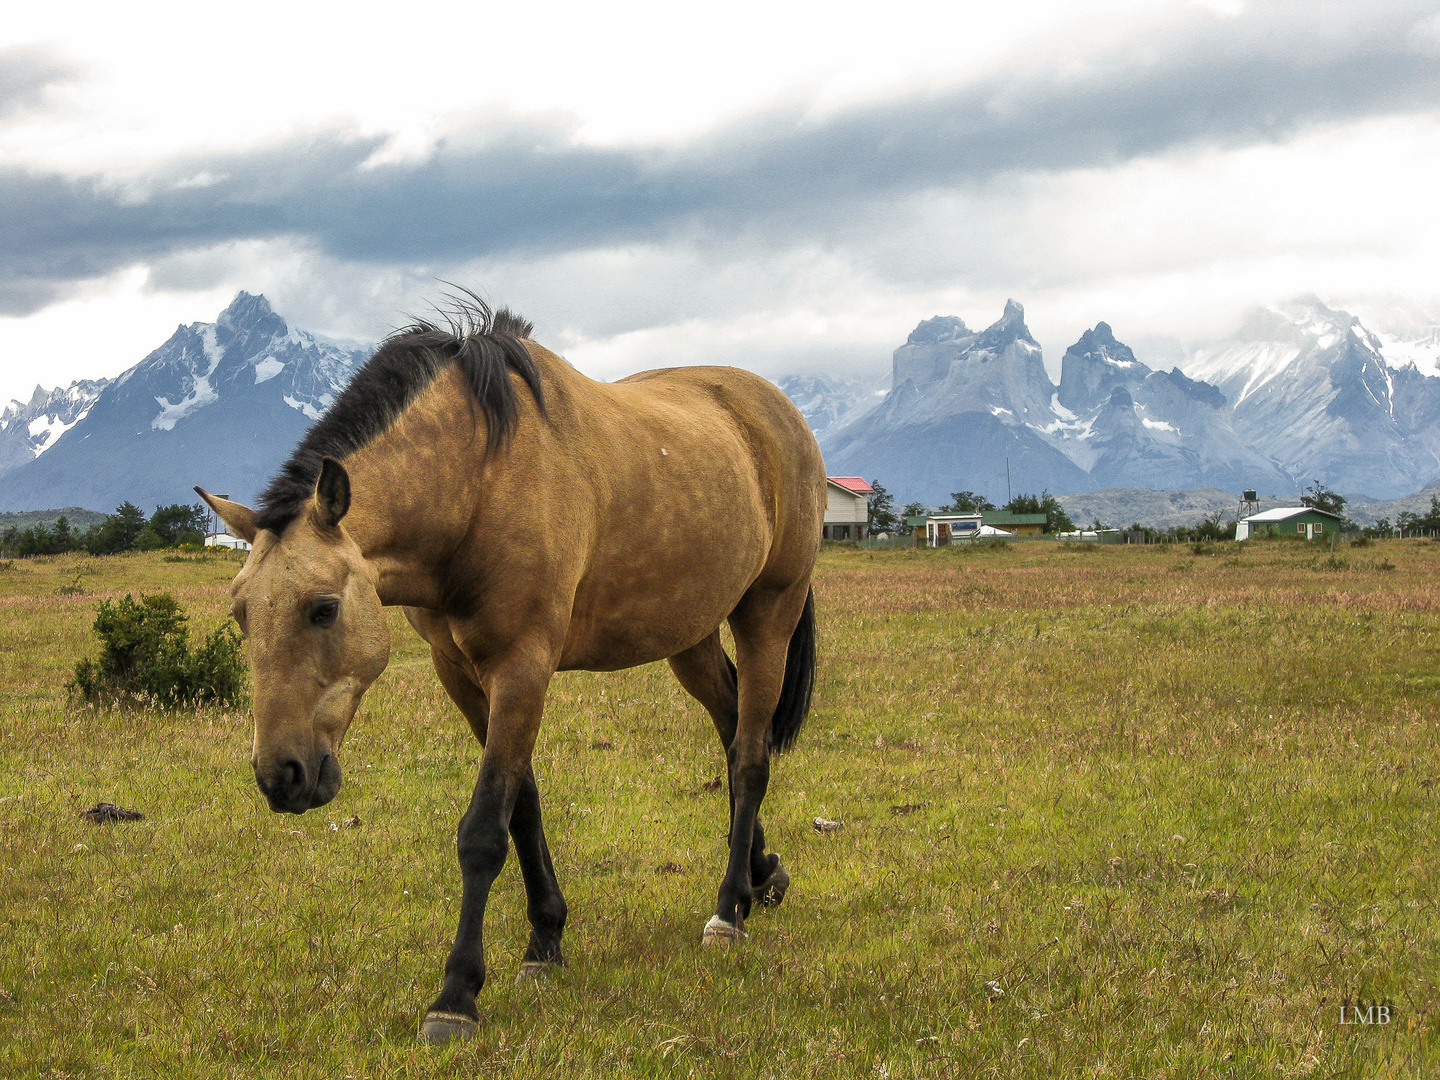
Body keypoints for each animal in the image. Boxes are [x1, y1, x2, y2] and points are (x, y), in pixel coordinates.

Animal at [195, 298, 823, 1048]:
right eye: (239, 613)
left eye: (323, 608)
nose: (281, 777)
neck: (479, 481)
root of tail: (775, 410)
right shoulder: (461, 675)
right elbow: (523, 806)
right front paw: (545, 943)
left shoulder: (523, 668)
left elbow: (484, 830)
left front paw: (456, 996)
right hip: (690, 636)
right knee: (733, 736)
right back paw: (762, 877)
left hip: (767, 614)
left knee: (751, 757)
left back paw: (729, 911)